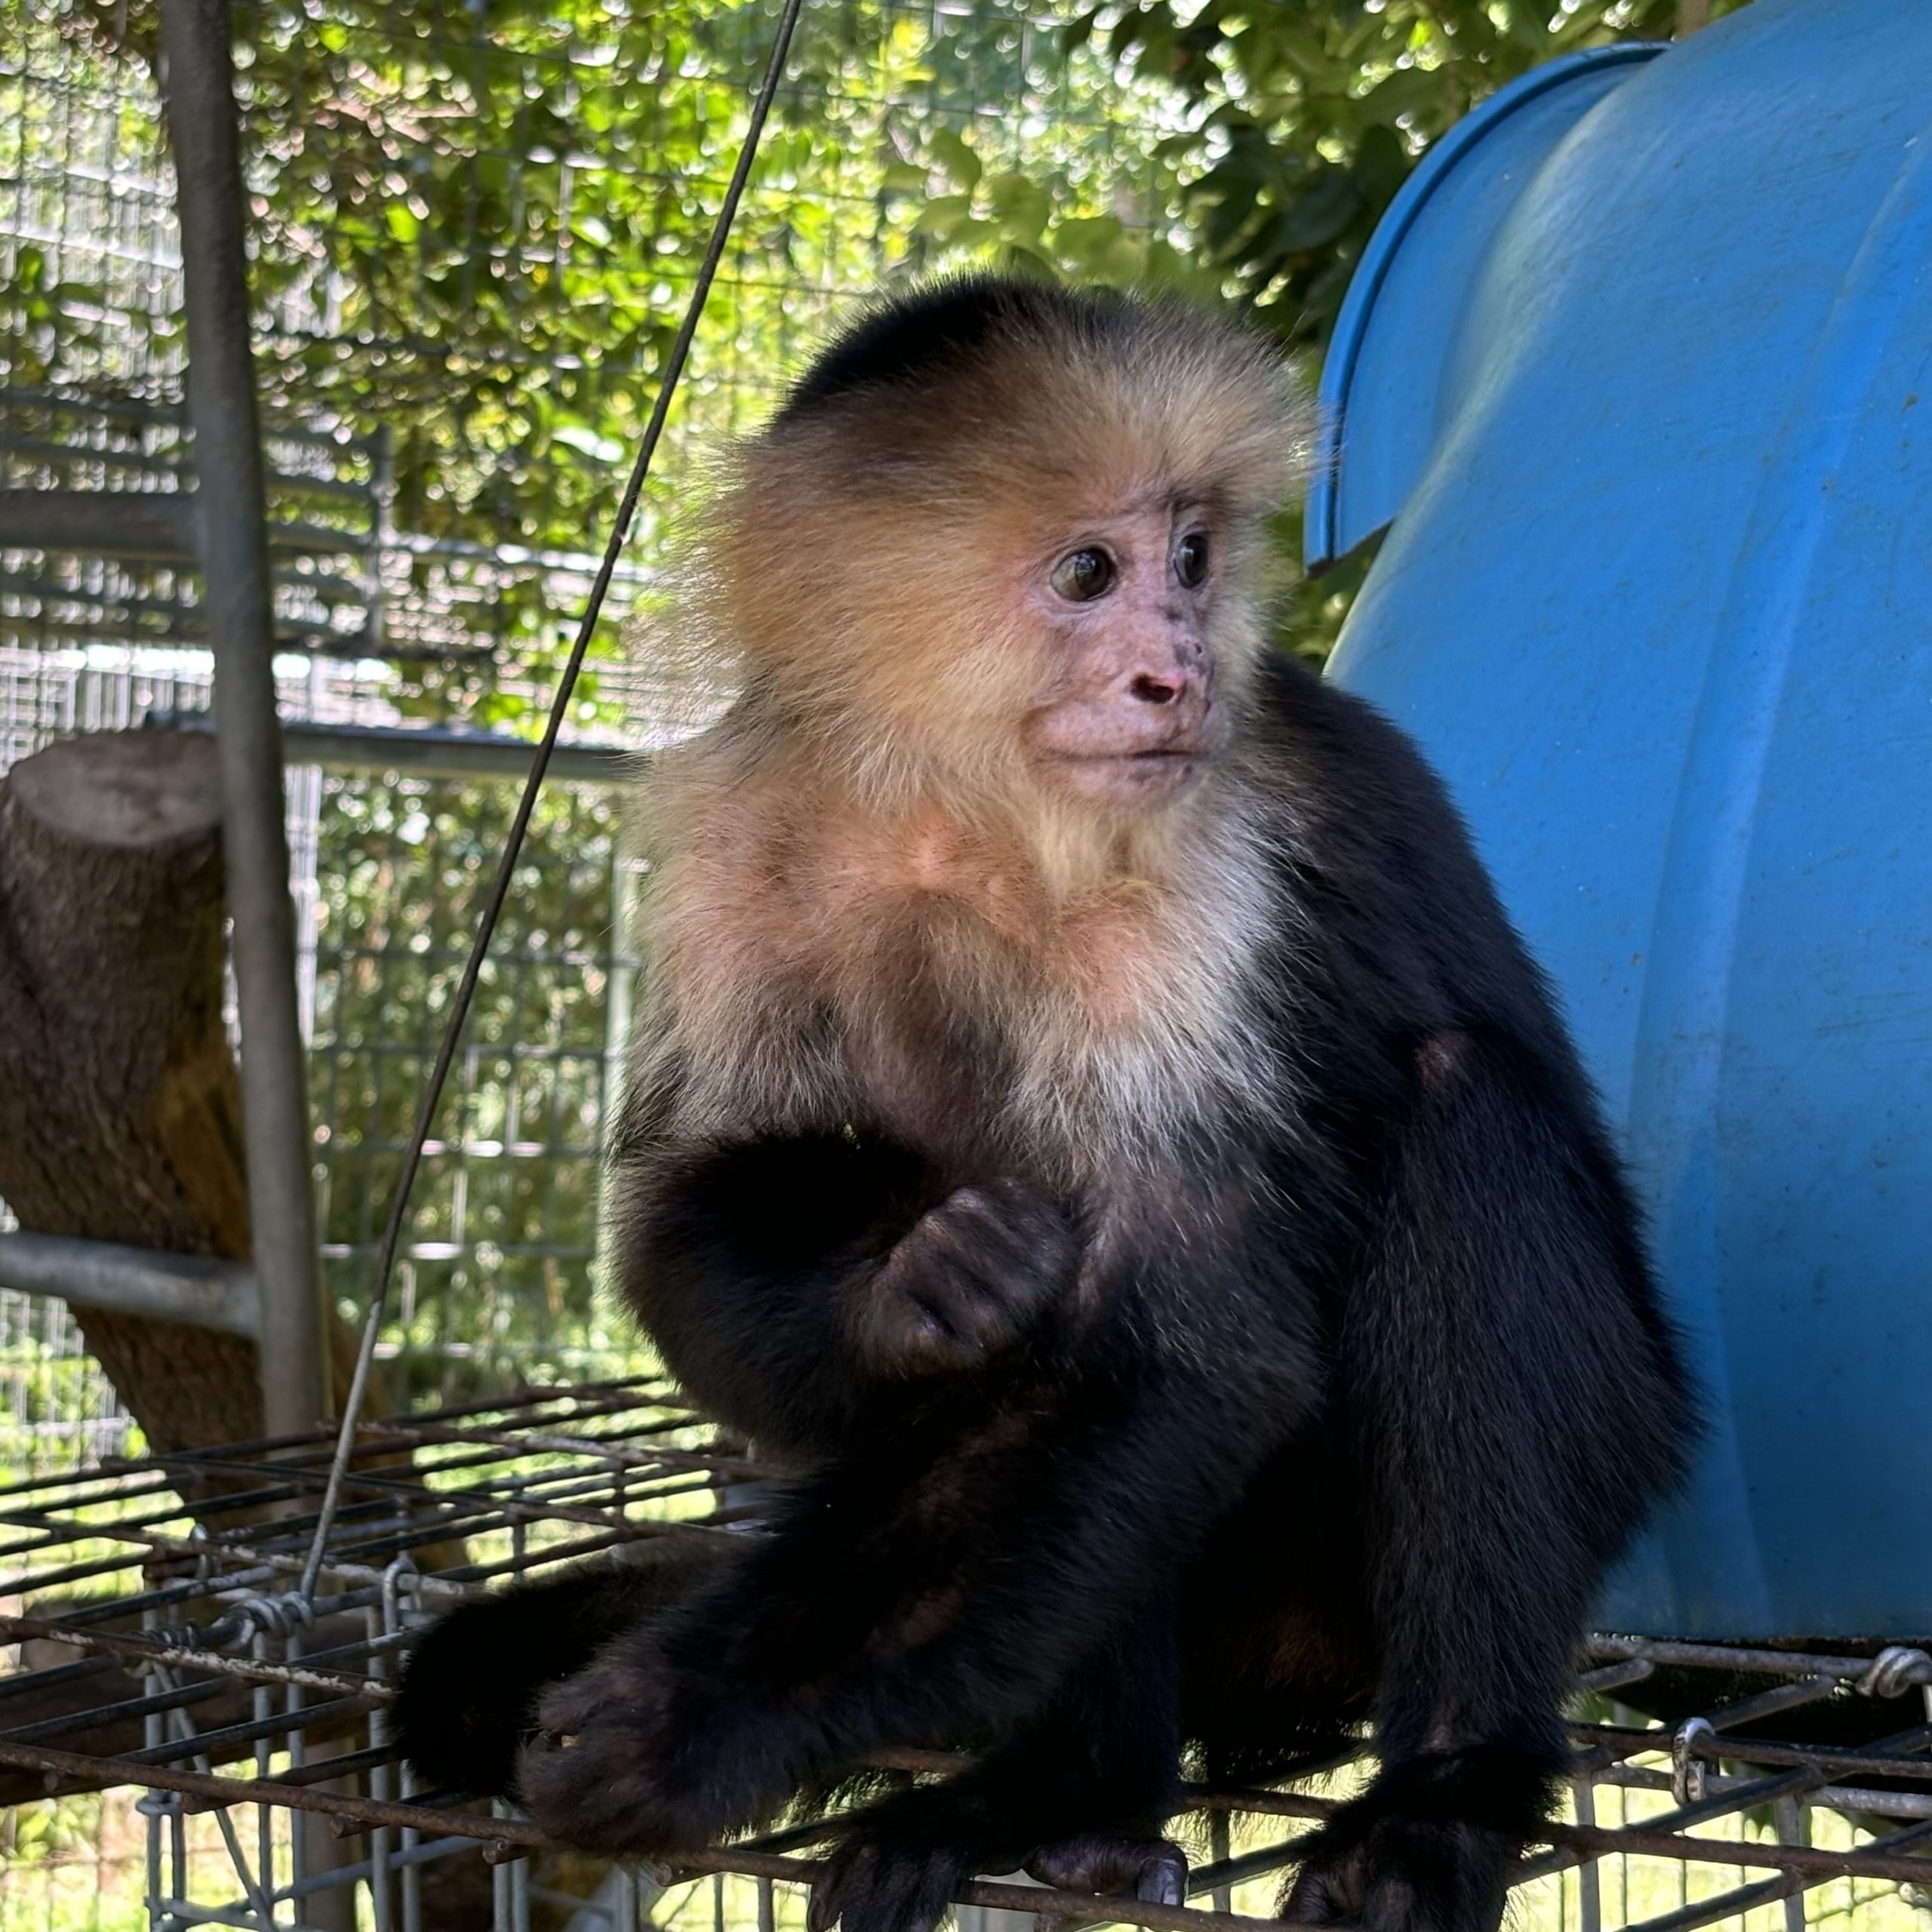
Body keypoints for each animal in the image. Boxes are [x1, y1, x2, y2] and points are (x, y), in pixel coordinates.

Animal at [395, 273, 1695, 1932]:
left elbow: (1182, 1346)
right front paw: (915, 1280)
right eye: (1087, 574)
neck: (962, 814)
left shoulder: (1189, 881)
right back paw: (1059, 1796)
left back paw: (1444, 1786)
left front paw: (690, 1729)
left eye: (1189, 561)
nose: (1175, 669)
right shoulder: (742, 837)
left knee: (1457, 1122)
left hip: (1517, 1497)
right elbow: (698, 1215)